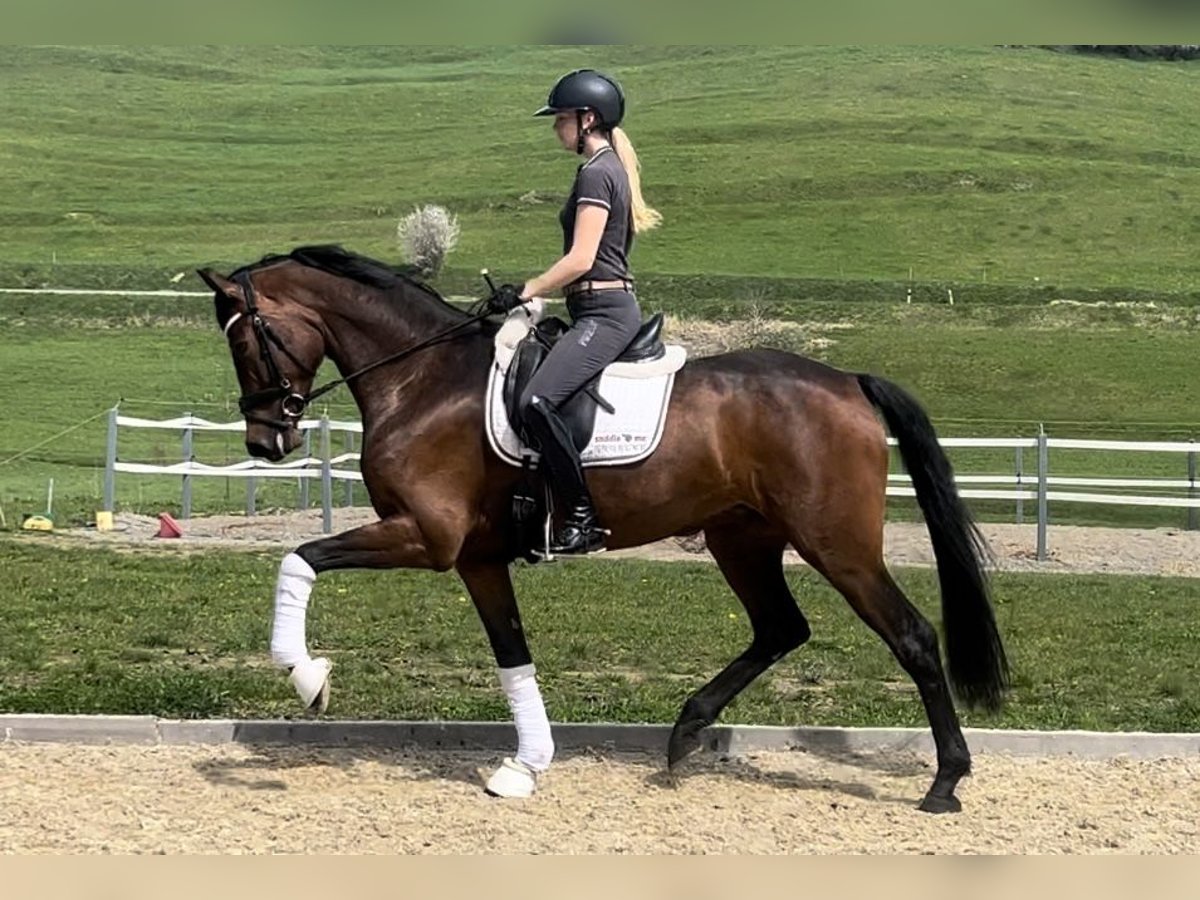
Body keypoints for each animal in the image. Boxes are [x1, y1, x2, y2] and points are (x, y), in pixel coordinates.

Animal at [201, 247, 1008, 816]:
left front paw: (307, 677)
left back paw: (946, 782)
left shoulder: (426, 538)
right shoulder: (477, 559)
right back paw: (685, 732)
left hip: (836, 544)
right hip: (740, 538)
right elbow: (513, 656)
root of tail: (846, 381)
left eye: (248, 341)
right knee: (781, 628)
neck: (425, 379)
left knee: (911, 637)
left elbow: (300, 557)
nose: (265, 442)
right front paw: (525, 765)